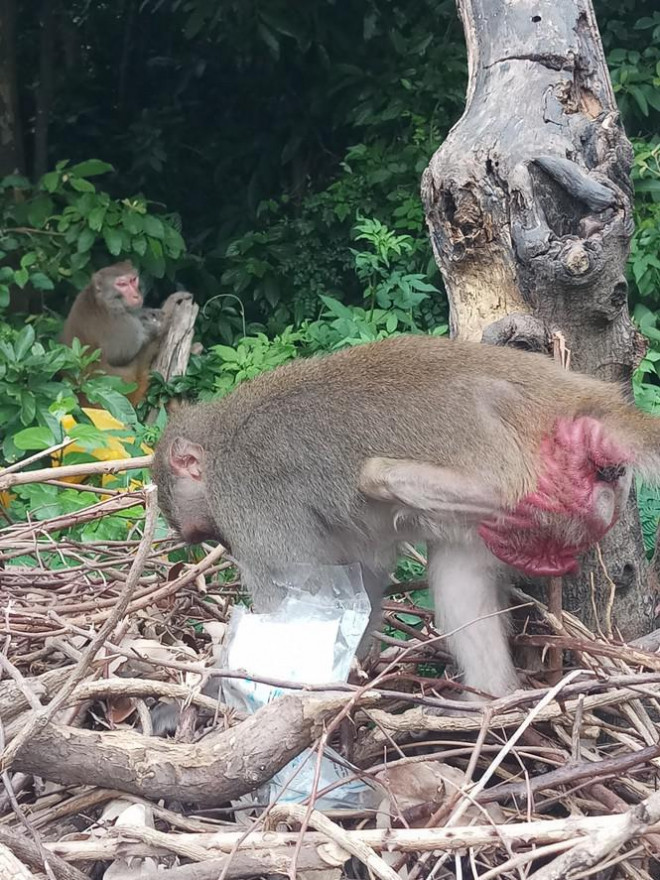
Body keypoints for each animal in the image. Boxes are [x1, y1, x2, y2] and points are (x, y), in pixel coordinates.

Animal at [150, 336, 660, 700]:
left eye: (211, 531)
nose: (224, 548)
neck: (221, 440)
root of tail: (575, 399)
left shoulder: (249, 500)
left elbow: (299, 595)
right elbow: (362, 582)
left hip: (518, 479)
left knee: (383, 476)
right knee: (460, 576)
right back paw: (492, 701)